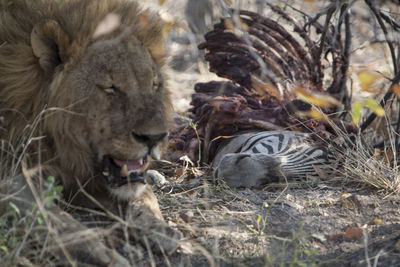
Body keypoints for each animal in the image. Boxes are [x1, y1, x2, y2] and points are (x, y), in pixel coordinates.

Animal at [0, 0, 180, 264]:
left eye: (154, 85)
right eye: (111, 88)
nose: (155, 138)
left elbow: (145, 194)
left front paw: (158, 228)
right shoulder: (10, 178)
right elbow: (62, 226)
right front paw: (108, 257)